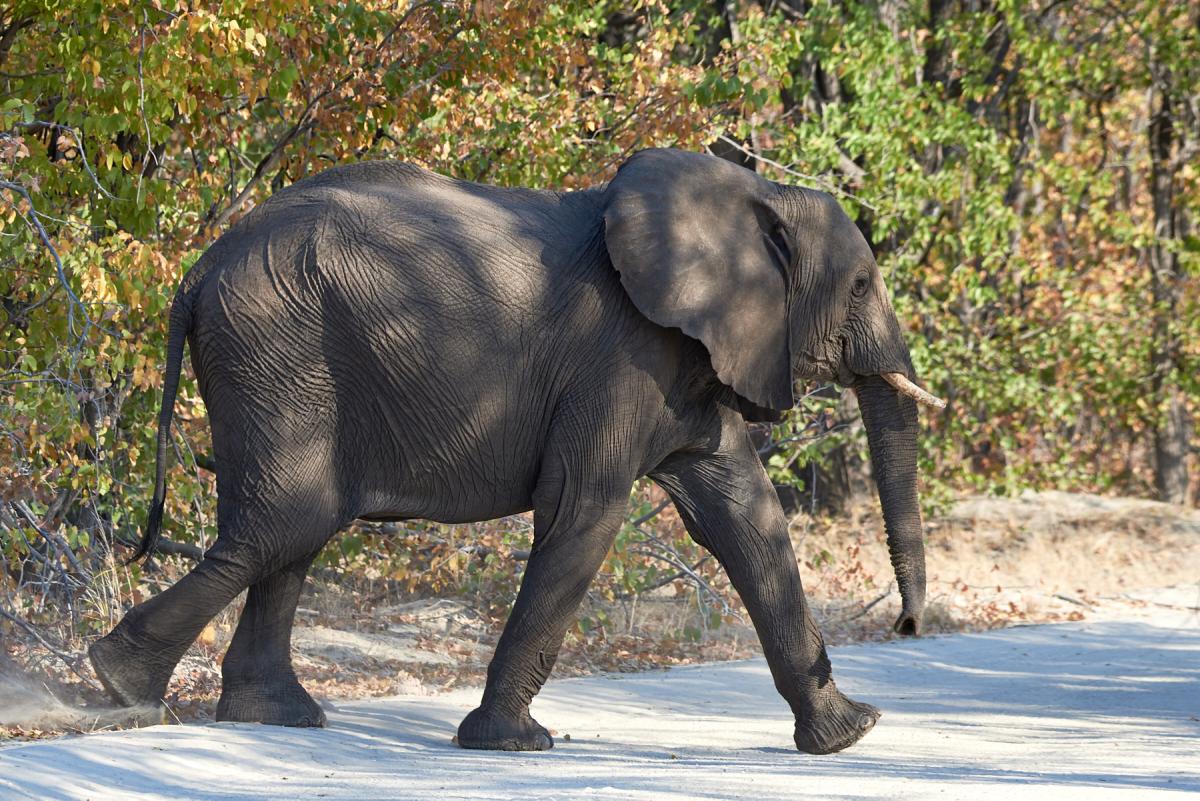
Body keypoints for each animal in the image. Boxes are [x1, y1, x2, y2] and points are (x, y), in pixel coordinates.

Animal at [87, 146, 945, 753]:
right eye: (862, 286)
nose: (908, 626)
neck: (750, 194)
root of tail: (197, 269)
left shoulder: (685, 361)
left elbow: (746, 516)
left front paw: (851, 733)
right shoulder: (621, 356)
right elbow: (585, 514)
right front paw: (513, 743)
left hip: (274, 355)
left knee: (296, 528)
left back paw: (274, 716)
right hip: (276, 345)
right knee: (288, 521)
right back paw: (117, 685)